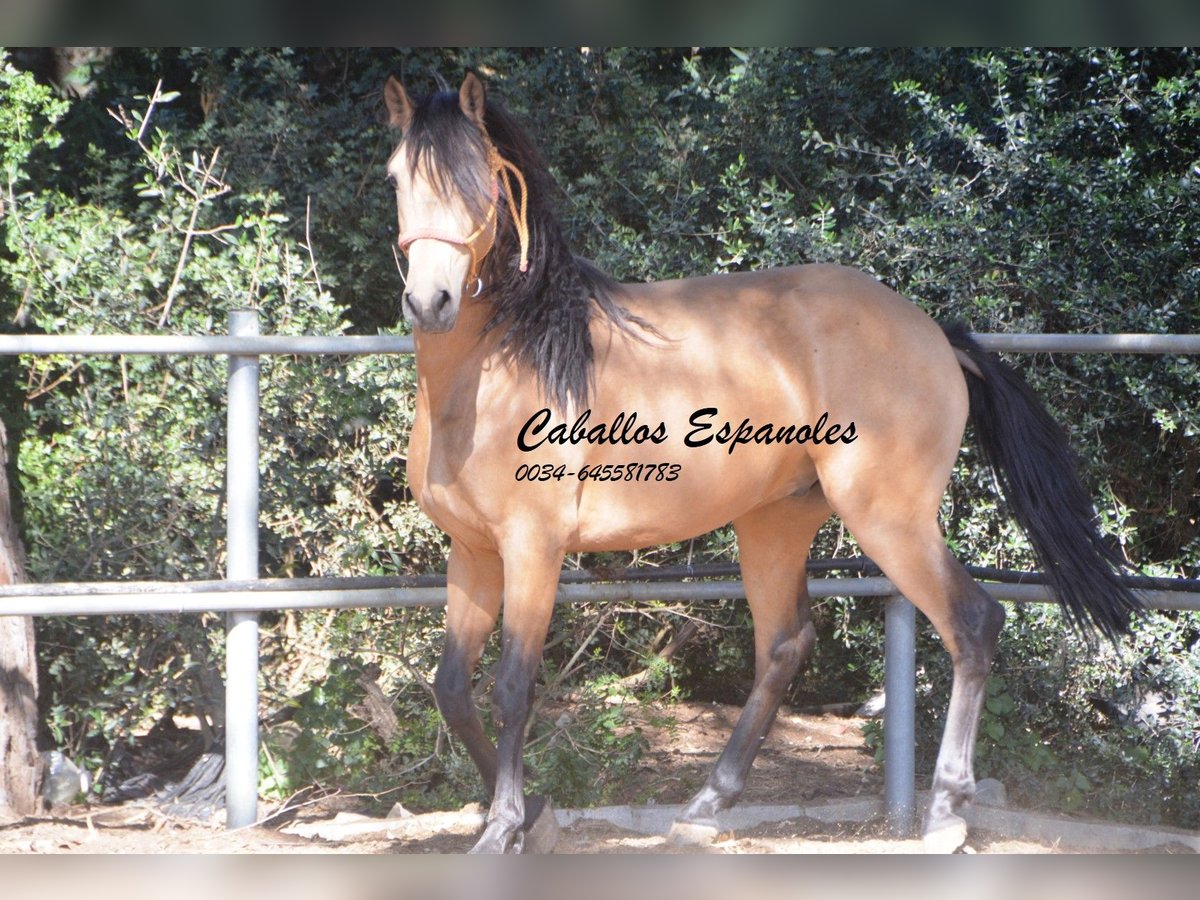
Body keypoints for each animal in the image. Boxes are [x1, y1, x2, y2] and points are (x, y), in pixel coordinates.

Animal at [384, 72, 1142, 854]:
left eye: (479, 183)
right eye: (396, 179)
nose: (431, 301)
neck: (505, 367)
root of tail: (934, 335)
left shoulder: (532, 548)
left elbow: (512, 685)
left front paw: (505, 827)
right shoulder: (473, 551)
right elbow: (451, 688)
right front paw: (534, 816)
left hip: (888, 520)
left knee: (972, 621)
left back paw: (943, 812)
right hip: (775, 522)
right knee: (783, 645)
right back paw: (706, 803)